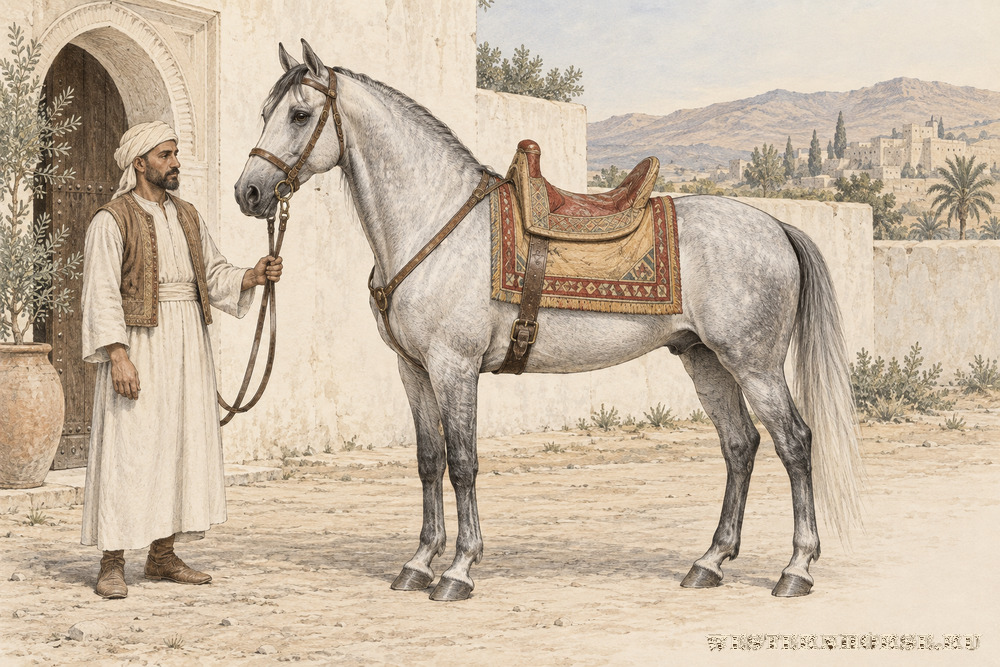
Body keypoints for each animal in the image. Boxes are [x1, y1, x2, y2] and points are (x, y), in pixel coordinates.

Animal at [235, 40, 863, 601]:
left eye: (299, 114)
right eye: (265, 112)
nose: (249, 193)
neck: (436, 222)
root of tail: (776, 225)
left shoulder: (454, 367)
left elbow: (462, 463)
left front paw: (458, 570)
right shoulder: (413, 370)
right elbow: (428, 461)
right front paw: (418, 563)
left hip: (755, 364)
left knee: (794, 442)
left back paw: (796, 568)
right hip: (705, 360)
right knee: (740, 444)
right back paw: (708, 562)